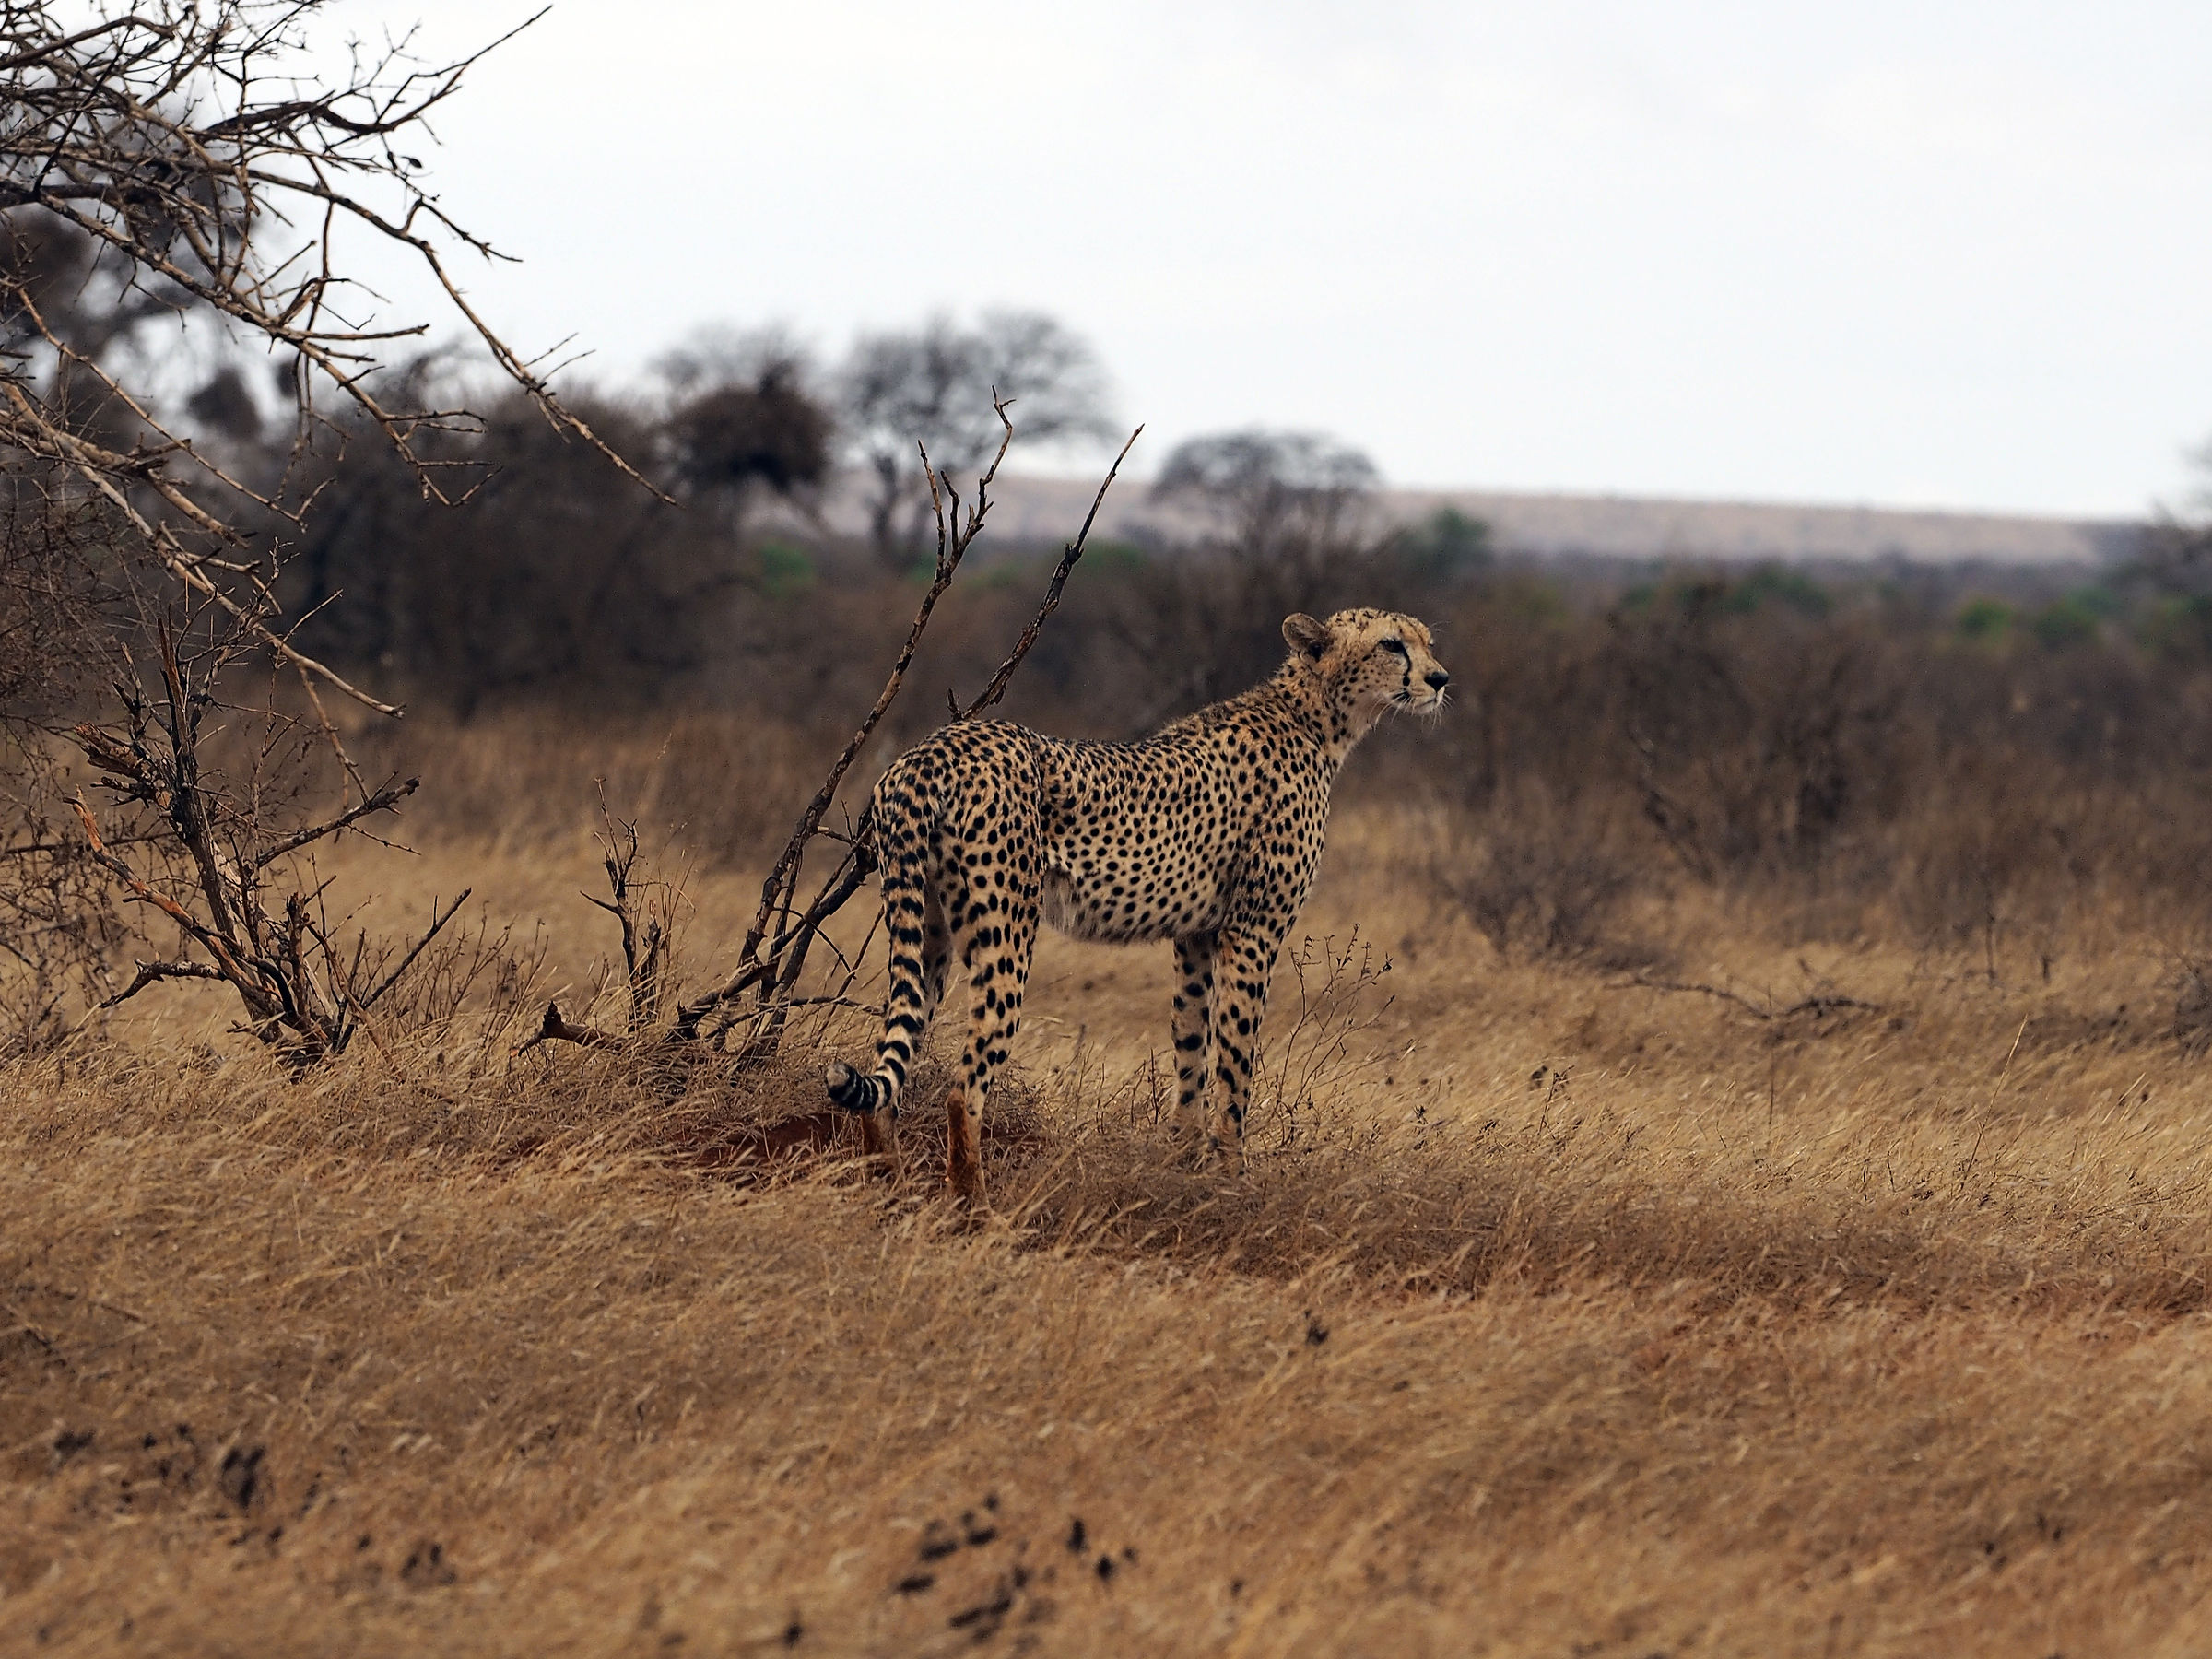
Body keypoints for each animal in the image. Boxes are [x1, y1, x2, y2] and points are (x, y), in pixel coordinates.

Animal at [826, 607, 1450, 1203]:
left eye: (1427, 642)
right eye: (1392, 644)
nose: (1440, 679)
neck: (1314, 718)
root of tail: (928, 751)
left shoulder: (1197, 936)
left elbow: (1192, 1050)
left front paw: (1183, 1165)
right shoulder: (1253, 932)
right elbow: (1234, 1067)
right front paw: (1233, 1181)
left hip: (923, 929)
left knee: (887, 1071)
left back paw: (888, 1193)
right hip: (1005, 935)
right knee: (962, 1087)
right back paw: (975, 1209)